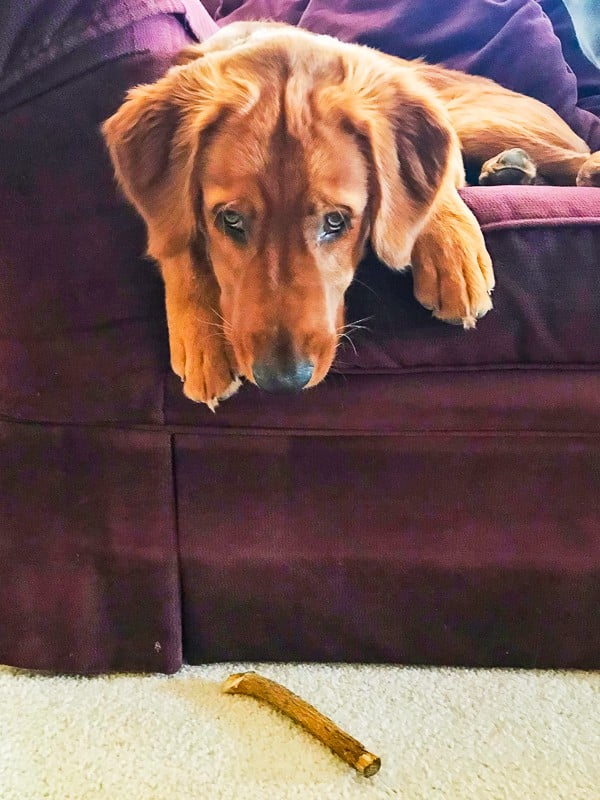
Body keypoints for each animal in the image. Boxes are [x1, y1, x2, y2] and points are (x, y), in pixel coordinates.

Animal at [103, 21, 600, 410]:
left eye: (335, 222)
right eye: (231, 221)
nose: (283, 381)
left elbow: (428, 186)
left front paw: (452, 253)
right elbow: (175, 239)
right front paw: (202, 341)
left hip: (478, 119)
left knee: (571, 157)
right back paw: (511, 170)